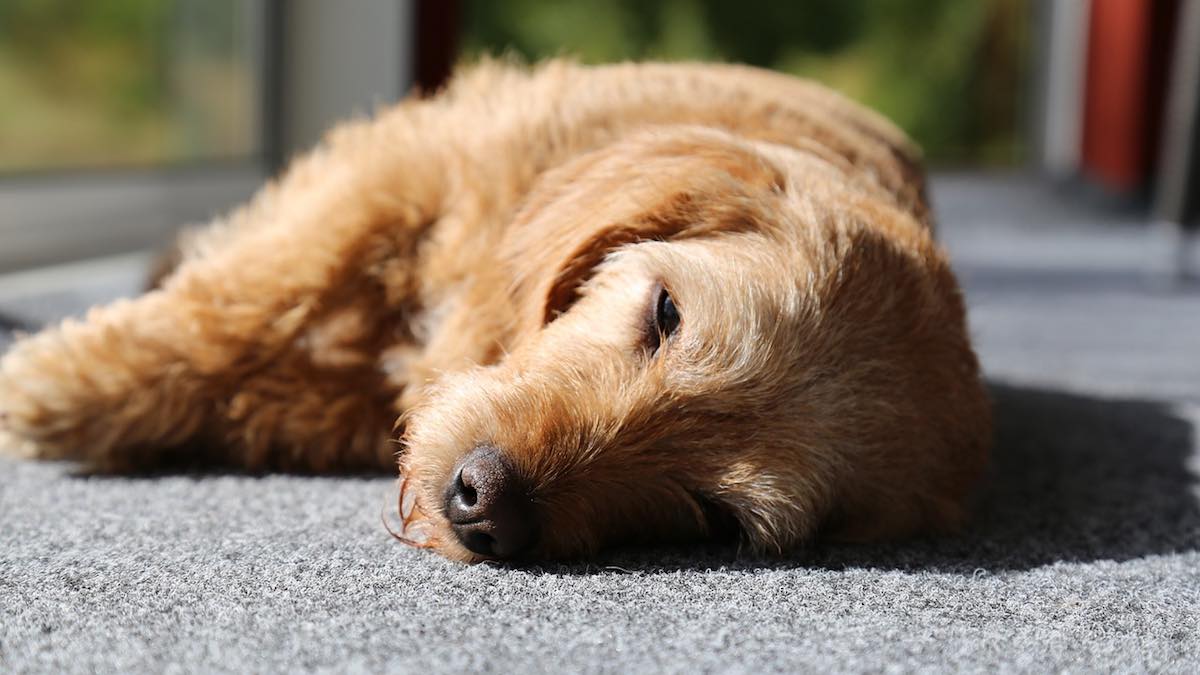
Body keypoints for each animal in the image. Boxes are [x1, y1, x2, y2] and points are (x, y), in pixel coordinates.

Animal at [0, 59, 988, 562]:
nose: (484, 503)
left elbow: (259, 391)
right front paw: (61, 383)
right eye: (666, 312)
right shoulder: (402, 171)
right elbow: (259, 284)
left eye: (719, 517)